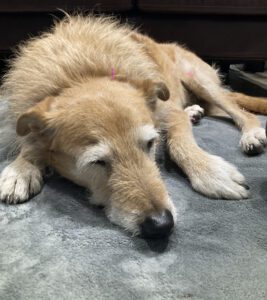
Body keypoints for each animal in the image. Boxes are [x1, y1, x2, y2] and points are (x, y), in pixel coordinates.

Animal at [0, 15, 267, 238]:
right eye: (97, 162)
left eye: (150, 144)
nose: (161, 225)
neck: (81, 74)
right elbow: (31, 141)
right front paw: (21, 169)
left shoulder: (169, 114)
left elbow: (180, 144)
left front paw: (212, 172)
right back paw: (194, 111)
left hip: (201, 81)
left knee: (239, 110)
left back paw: (252, 134)